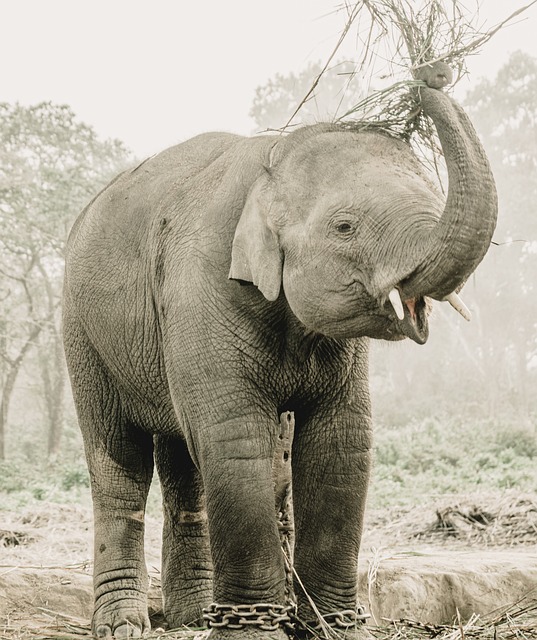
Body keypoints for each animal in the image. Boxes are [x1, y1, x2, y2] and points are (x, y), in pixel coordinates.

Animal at [63, 61, 498, 640]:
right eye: (345, 226)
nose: (432, 71)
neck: (271, 163)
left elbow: (342, 444)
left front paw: (335, 628)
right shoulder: (201, 285)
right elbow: (236, 438)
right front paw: (255, 631)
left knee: (185, 466)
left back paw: (194, 616)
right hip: (82, 334)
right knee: (119, 458)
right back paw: (124, 625)